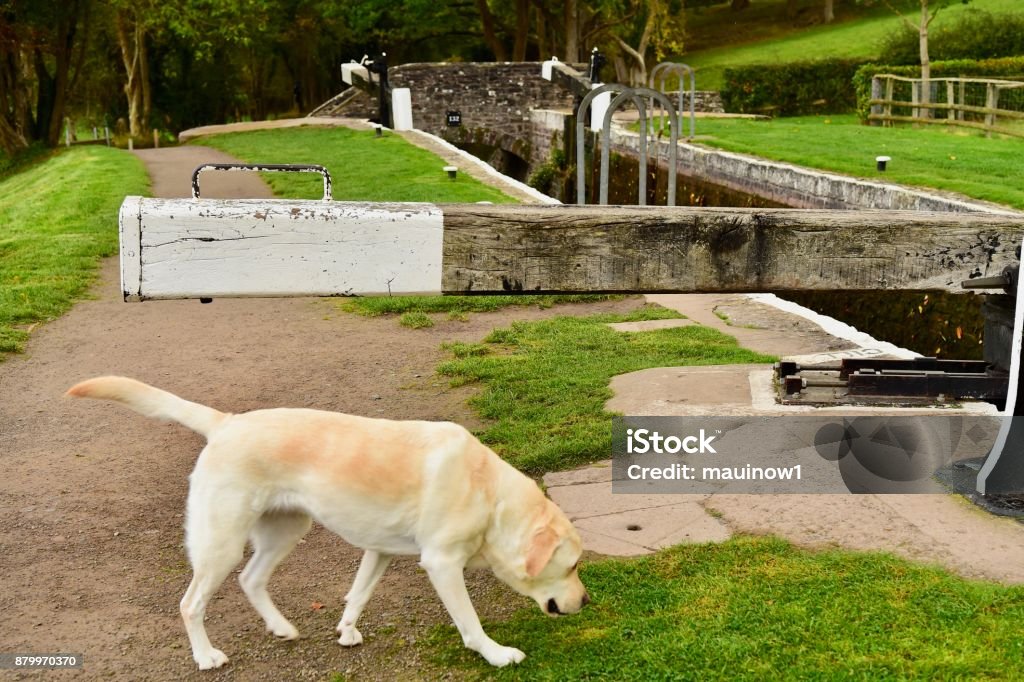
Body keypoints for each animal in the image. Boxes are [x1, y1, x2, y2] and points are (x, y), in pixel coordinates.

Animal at [66, 376, 593, 667]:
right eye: (571, 566)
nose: (586, 601)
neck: (488, 492)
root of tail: (227, 421)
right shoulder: (442, 565)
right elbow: (469, 622)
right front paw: (496, 653)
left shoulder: (380, 550)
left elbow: (357, 594)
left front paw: (346, 630)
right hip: (221, 544)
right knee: (190, 603)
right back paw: (205, 656)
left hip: (285, 531)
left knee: (251, 579)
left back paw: (280, 627)